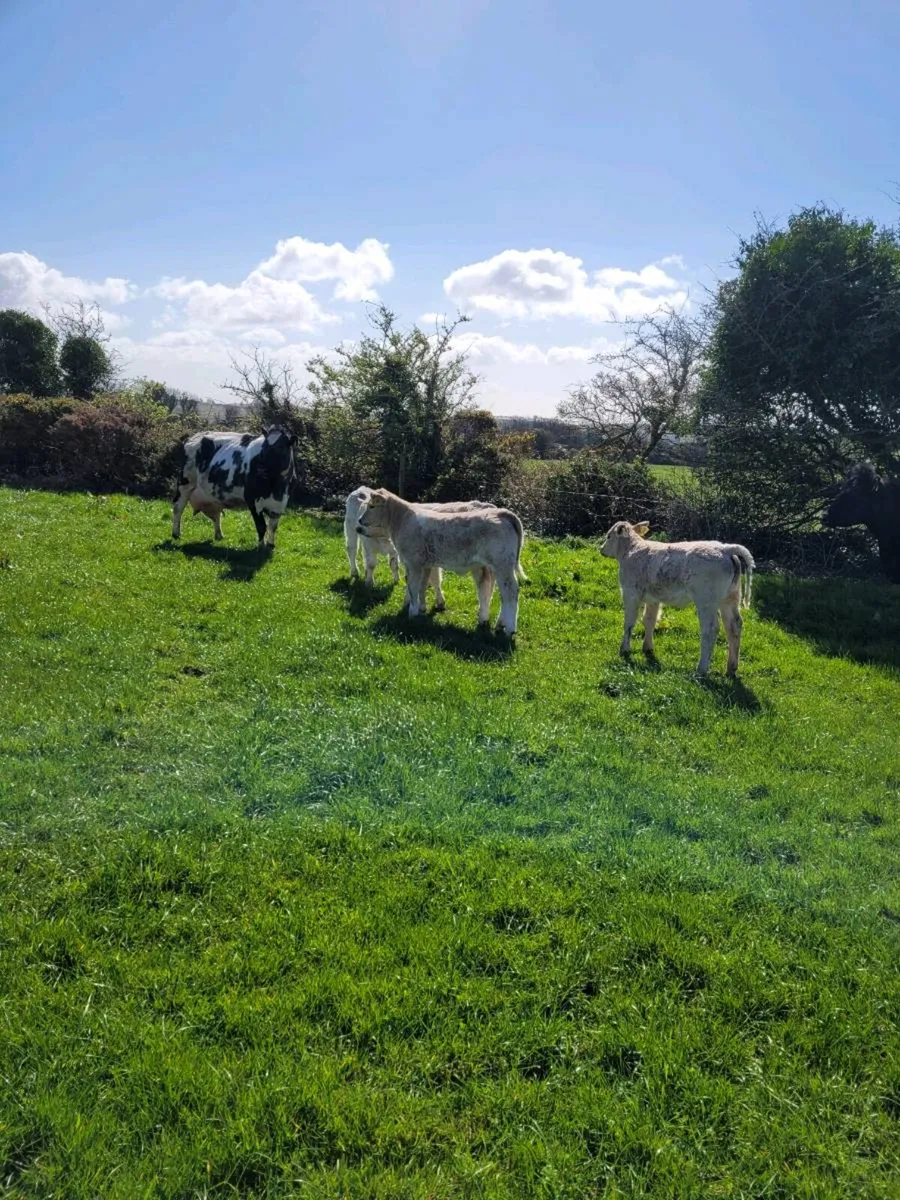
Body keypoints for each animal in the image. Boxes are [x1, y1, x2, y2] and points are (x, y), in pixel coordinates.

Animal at [356, 488, 526, 633]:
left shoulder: (413, 563)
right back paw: (498, 623)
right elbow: (422, 587)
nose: (359, 521)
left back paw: (510, 629)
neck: (402, 521)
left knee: (510, 591)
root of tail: (501, 512)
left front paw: (412, 612)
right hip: (493, 566)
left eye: (371, 506)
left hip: (502, 564)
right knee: (498, 591)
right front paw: (421, 610)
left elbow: (412, 586)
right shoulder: (425, 564)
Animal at [600, 521, 754, 677]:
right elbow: (649, 621)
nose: (601, 549)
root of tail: (725, 548)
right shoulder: (653, 599)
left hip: (706, 601)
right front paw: (647, 648)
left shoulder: (630, 593)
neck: (631, 549)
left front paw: (624, 649)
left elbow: (629, 623)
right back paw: (731, 669)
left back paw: (701, 669)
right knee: (734, 626)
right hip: (730, 598)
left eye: (608, 536)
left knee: (710, 629)